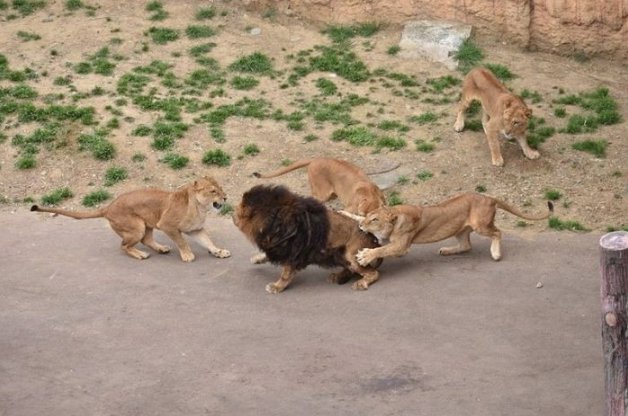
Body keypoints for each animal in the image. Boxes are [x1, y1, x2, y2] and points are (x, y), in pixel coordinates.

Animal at [30, 176, 232, 262]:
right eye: (213, 191)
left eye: (221, 188)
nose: (225, 197)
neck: (200, 207)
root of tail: (108, 206)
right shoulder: (168, 225)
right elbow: (182, 242)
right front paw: (187, 255)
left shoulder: (195, 229)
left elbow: (208, 241)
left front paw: (219, 252)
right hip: (136, 227)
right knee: (125, 245)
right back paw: (140, 254)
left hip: (146, 224)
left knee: (146, 240)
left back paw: (161, 249)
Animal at [233, 185, 380, 292]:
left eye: (238, 210)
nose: (232, 216)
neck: (275, 222)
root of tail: (375, 241)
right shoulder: (278, 247)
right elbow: (267, 254)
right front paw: (257, 258)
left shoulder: (294, 253)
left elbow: (286, 274)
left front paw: (276, 287)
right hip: (340, 256)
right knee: (351, 270)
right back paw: (337, 276)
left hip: (351, 254)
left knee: (373, 273)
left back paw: (360, 283)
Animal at [348, 193, 556, 266]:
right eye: (369, 216)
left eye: (375, 219)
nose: (362, 226)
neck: (395, 214)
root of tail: (489, 197)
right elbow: (383, 246)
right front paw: (351, 216)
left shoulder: (401, 246)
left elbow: (382, 249)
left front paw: (365, 256)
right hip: (460, 230)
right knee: (466, 246)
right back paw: (446, 250)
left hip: (481, 225)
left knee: (497, 232)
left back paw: (496, 253)